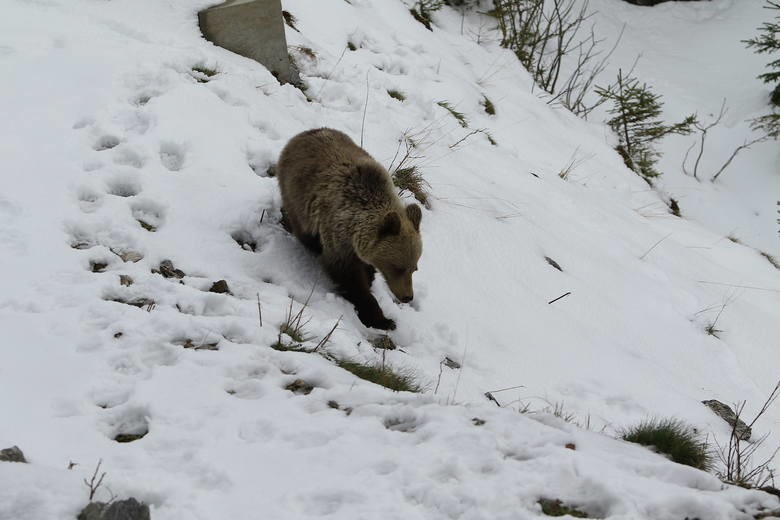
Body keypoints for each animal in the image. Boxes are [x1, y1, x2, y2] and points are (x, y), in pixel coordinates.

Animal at [274, 127, 420, 330]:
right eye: (398, 267)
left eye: (414, 268)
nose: (407, 296)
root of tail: (304, 133)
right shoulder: (338, 236)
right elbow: (348, 277)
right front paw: (382, 319)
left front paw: (370, 276)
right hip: (295, 194)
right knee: (303, 230)